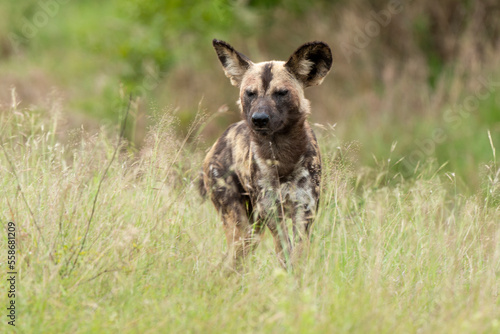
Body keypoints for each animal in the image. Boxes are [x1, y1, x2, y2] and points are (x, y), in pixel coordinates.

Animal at [199, 39, 332, 268]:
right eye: (250, 93)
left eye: (281, 93)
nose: (259, 119)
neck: (282, 157)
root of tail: (219, 140)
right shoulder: (271, 210)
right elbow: (285, 252)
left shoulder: (304, 210)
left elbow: (297, 254)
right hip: (242, 227)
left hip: (253, 228)